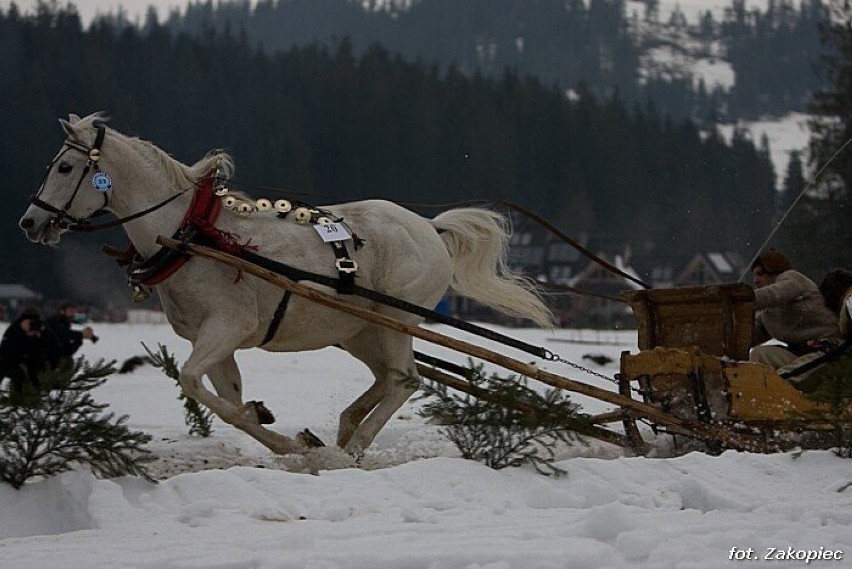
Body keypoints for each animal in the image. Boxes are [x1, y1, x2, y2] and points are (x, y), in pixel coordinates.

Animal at [20, 113, 556, 454]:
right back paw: (343, 430)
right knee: (386, 378)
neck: (190, 232)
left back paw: (350, 449)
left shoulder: (226, 329)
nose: (30, 222)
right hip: (358, 330)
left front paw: (292, 444)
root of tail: (430, 227)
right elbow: (228, 402)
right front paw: (278, 431)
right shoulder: (215, 344)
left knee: (405, 379)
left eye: (65, 167)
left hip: (396, 320)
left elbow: (193, 382)